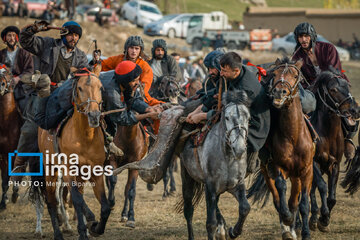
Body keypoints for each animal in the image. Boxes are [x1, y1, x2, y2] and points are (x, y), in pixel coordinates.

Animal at [37, 66, 111, 240]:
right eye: (80, 88)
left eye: (100, 88)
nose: (94, 116)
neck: (85, 137)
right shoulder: (68, 170)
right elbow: (76, 199)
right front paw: (85, 229)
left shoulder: (95, 172)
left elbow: (105, 206)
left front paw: (95, 228)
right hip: (51, 169)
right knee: (52, 200)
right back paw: (58, 233)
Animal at [177, 90, 250, 240]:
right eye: (227, 117)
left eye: (248, 118)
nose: (239, 149)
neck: (227, 157)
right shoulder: (210, 187)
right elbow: (210, 223)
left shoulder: (237, 184)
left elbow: (245, 208)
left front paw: (233, 231)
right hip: (187, 177)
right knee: (188, 210)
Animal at [248, 58, 316, 240]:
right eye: (275, 74)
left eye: (295, 75)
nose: (279, 92)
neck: (293, 136)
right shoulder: (277, 166)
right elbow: (281, 189)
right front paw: (287, 220)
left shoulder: (306, 171)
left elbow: (303, 203)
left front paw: (305, 233)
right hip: (267, 170)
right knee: (278, 199)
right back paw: (287, 228)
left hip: (296, 175)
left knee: (294, 201)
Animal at [308, 66, 358, 232]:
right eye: (333, 89)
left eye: (348, 86)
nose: (355, 110)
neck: (327, 134)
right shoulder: (314, 163)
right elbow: (322, 187)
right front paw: (322, 215)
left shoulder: (334, 164)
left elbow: (332, 197)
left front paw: (324, 220)